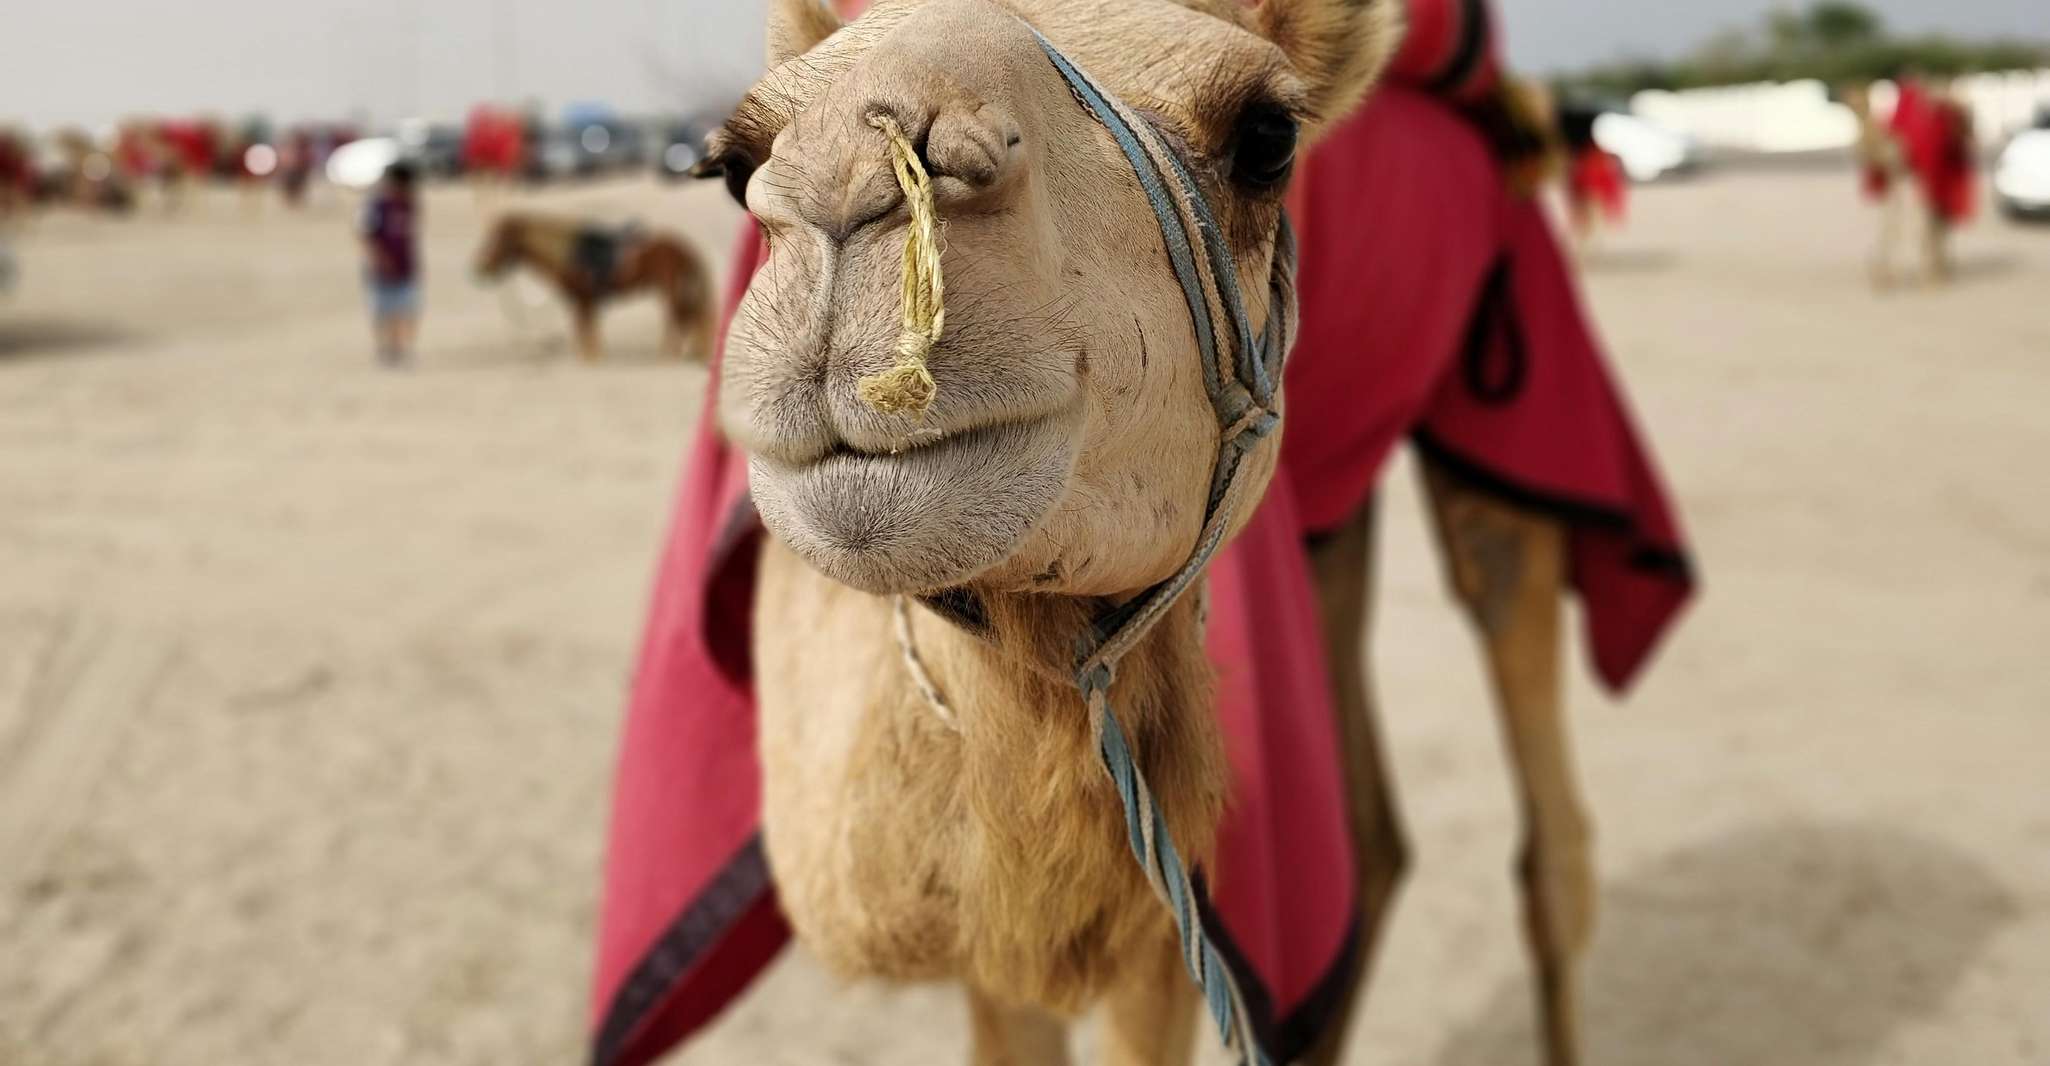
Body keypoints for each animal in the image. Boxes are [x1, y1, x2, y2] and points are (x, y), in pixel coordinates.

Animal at [473, 211, 715, 362]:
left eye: (496, 240)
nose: (478, 268)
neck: (570, 256)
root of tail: (684, 246)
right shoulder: (584, 301)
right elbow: (586, 330)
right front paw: (591, 357)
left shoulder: (583, 299)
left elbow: (585, 330)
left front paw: (589, 358)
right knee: (686, 318)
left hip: (669, 291)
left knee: (677, 319)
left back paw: (668, 355)